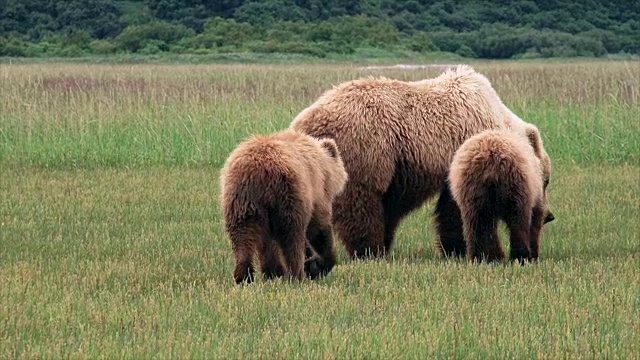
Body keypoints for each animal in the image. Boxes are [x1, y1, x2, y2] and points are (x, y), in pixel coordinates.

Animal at [220, 129, 350, 284]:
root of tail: (260, 170)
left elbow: (267, 243)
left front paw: (273, 272)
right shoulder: (316, 192)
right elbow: (319, 228)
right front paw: (318, 265)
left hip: (241, 198)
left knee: (242, 235)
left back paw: (244, 276)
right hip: (288, 194)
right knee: (291, 236)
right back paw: (297, 275)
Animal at [290, 64, 544, 260]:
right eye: (546, 180)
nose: (547, 214)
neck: (499, 117)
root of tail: (303, 122)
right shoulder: (463, 148)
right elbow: (454, 208)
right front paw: (457, 248)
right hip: (363, 147)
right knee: (360, 202)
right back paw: (370, 250)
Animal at [444, 128, 556, 262]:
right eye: (546, 181)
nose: (550, 216)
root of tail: (491, 163)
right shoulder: (535, 192)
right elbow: (535, 220)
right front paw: (534, 254)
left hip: (471, 191)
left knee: (476, 224)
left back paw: (482, 257)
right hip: (515, 185)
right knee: (518, 222)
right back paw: (520, 256)